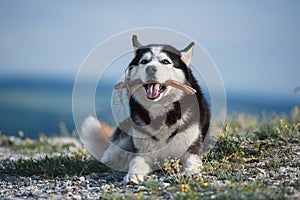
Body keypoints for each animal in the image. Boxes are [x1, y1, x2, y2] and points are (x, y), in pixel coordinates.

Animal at [81, 35, 210, 184]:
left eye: (165, 61)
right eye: (144, 61)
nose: (151, 69)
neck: (160, 115)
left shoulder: (191, 148)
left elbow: (192, 161)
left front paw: (191, 172)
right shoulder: (142, 152)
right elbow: (136, 162)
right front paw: (132, 174)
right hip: (124, 137)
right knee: (109, 155)